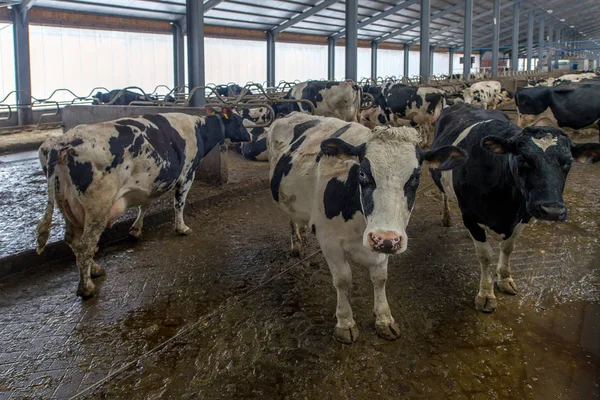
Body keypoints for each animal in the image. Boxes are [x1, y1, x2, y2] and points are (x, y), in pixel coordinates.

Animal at [35, 108, 251, 298]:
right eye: (240, 121)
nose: (249, 136)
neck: (199, 130)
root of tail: (62, 142)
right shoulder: (188, 173)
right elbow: (179, 204)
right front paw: (181, 228)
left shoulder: (151, 183)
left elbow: (145, 205)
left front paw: (135, 230)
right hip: (98, 207)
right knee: (86, 245)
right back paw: (86, 287)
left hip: (68, 206)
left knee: (74, 241)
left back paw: (94, 269)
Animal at [268, 111, 468, 342]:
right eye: (362, 173)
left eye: (416, 176)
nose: (385, 239)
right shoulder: (330, 241)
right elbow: (342, 280)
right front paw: (345, 323)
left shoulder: (384, 241)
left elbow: (380, 278)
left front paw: (384, 319)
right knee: (290, 219)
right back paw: (296, 245)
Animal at [428, 104, 596, 314]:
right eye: (522, 159)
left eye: (568, 162)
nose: (552, 211)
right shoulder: (469, 215)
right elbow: (485, 256)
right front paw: (486, 295)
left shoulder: (524, 214)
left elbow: (508, 248)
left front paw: (504, 279)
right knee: (444, 195)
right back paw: (446, 217)